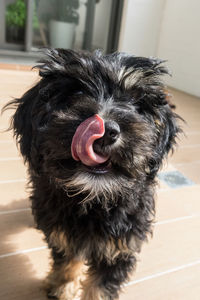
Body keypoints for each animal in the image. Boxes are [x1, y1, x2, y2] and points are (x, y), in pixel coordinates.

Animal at [4, 48, 180, 298]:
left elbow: (100, 286)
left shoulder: (120, 245)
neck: (95, 199)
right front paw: (63, 287)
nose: (106, 132)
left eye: (136, 103)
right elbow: (68, 259)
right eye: (76, 92)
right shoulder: (65, 234)